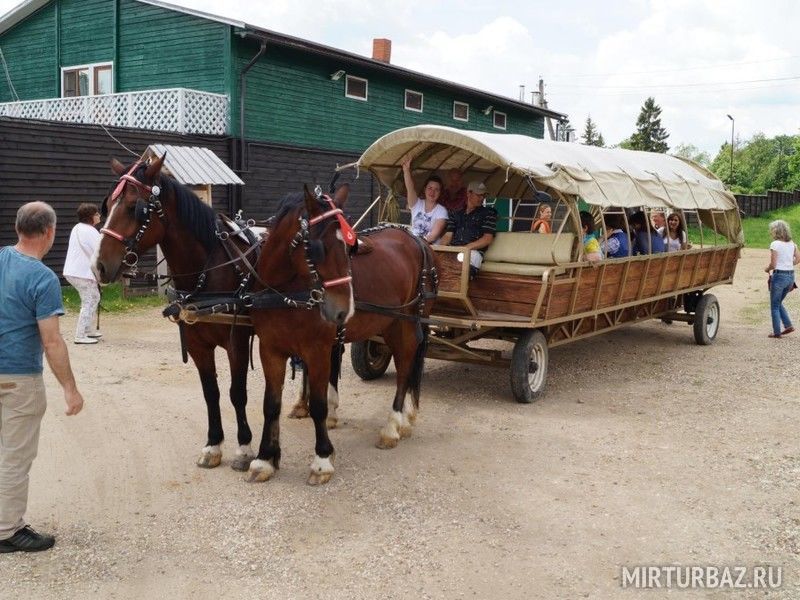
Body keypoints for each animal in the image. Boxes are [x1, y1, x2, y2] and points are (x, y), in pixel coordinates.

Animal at [290, 225, 440, 450]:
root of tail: (420, 241)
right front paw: (305, 406)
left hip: (405, 322)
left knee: (405, 362)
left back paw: (393, 427)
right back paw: (405, 419)